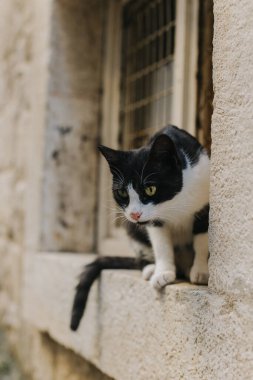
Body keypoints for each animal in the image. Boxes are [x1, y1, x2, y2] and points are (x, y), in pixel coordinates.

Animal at [69, 126, 210, 332]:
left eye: (150, 189)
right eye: (122, 192)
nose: (135, 214)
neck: (174, 202)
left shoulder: (204, 202)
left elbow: (202, 239)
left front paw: (201, 271)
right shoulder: (153, 221)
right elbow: (161, 243)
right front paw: (163, 273)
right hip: (130, 228)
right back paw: (151, 268)